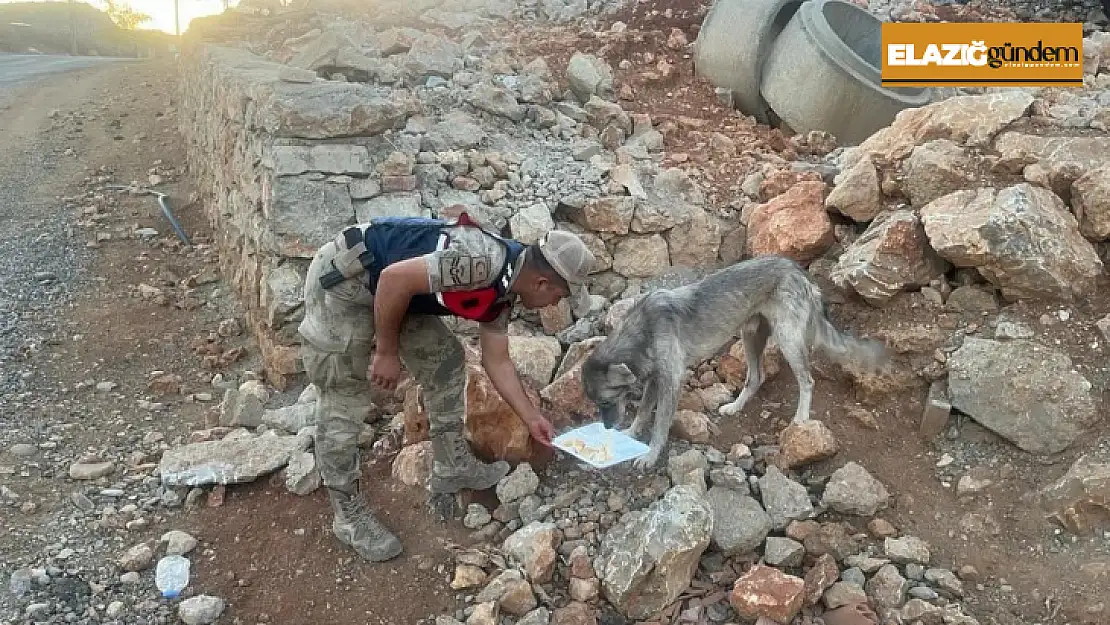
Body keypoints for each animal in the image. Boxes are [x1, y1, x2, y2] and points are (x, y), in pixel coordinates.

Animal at [577, 255, 888, 470]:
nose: (607, 428)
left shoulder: (671, 381)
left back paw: (801, 419)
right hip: (751, 335)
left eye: (605, 401)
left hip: (787, 338)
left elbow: (659, 424)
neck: (642, 331)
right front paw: (630, 433)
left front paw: (650, 454)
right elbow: (642, 411)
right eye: (597, 403)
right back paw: (734, 407)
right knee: (756, 377)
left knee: (807, 380)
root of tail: (799, 271)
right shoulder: (655, 377)